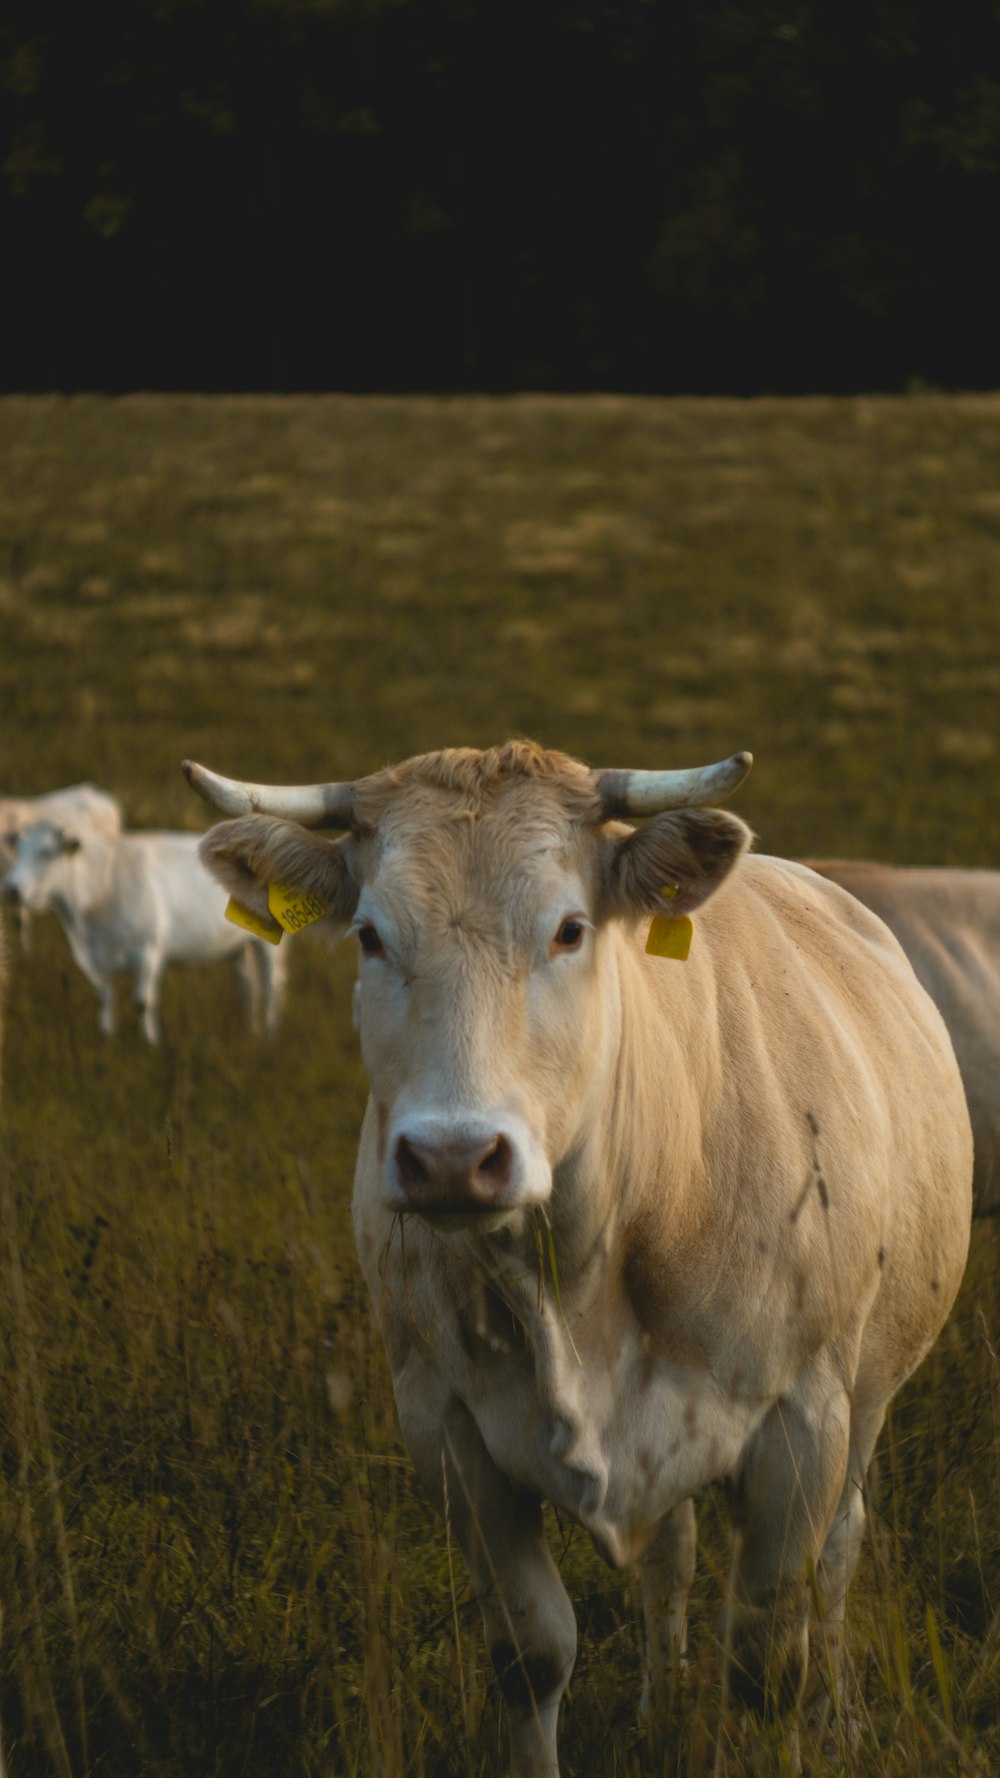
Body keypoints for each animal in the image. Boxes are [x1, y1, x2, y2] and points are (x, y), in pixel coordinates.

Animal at [2, 817, 284, 1038]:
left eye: (47, 852)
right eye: (18, 849)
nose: (12, 889)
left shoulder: (147, 949)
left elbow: (142, 1002)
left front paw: (150, 1045)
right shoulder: (94, 960)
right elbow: (104, 999)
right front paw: (106, 1039)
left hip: (271, 944)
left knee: (272, 984)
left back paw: (270, 1034)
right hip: (235, 945)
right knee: (248, 986)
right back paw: (249, 1031)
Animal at [183, 743, 967, 1770]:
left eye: (568, 930)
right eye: (368, 936)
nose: (453, 1157)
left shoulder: (805, 1423)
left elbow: (768, 1661)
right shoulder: (449, 1432)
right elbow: (533, 1653)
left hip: (867, 1397)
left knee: (838, 1556)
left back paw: (839, 1719)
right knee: (669, 1556)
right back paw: (659, 1707)